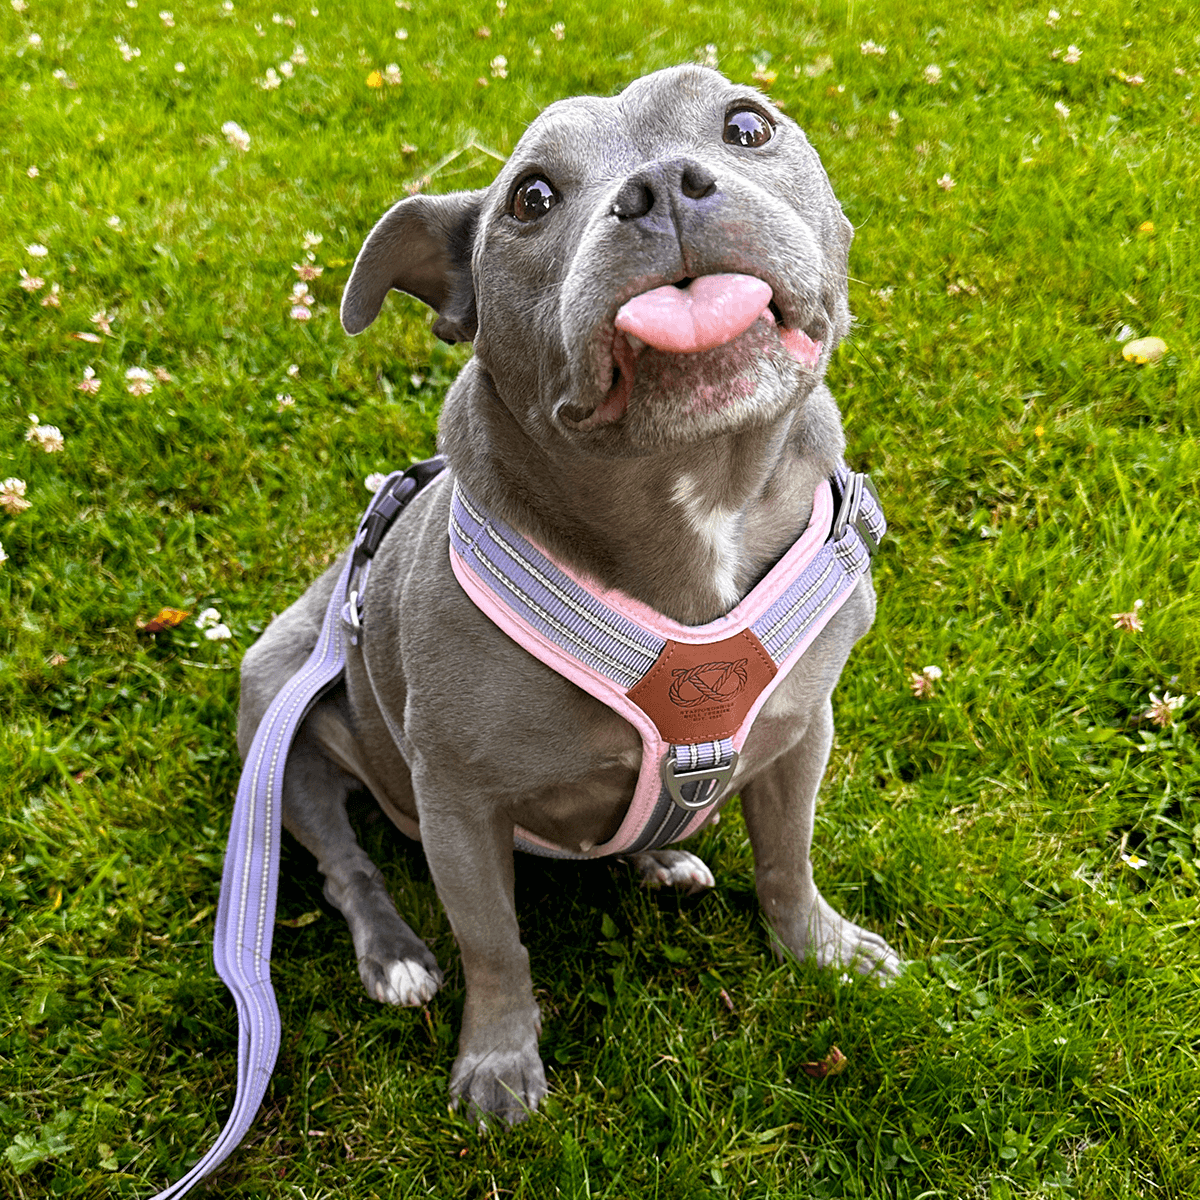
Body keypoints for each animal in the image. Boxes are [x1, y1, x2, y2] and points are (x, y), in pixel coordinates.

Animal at [238, 65, 902, 1128]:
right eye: (532, 197)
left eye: (746, 126)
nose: (663, 186)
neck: (696, 497)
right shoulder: (459, 803)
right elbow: (493, 944)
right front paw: (499, 1062)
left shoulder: (803, 731)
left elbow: (788, 858)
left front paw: (820, 947)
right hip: (279, 722)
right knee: (345, 866)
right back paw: (394, 957)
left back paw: (660, 856)